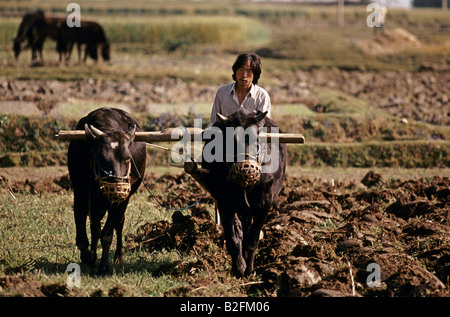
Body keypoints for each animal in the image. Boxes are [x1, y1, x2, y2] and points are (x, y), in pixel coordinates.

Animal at [67, 107, 145, 272]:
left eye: (128, 158)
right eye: (101, 157)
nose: (118, 188)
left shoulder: (117, 201)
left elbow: (106, 234)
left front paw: (103, 266)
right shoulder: (81, 191)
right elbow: (88, 228)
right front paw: (88, 256)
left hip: (125, 199)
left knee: (119, 222)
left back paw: (119, 256)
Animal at [185, 107, 286, 276]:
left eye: (257, 140)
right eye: (230, 141)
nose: (247, 171)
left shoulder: (265, 205)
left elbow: (253, 239)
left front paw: (249, 270)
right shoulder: (224, 203)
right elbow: (233, 239)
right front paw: (238, 268)